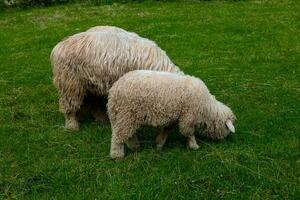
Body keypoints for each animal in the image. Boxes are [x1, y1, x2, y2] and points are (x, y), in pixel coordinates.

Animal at [50, 26, 182, 131]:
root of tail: (59, 46)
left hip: (91, 84)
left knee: (93, 103)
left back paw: (102, 120)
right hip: (69, 82)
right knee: (69, 106)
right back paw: (72, 125)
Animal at [106, 70, 236, 159]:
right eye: (226, 128)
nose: (224, 141)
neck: (206, 107)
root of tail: (114, 90)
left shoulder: (175, 117)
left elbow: (167, 130)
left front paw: (159, 144)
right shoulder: (188, 117)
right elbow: (189, 133)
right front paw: (194, 145)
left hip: (124, 116)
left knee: (127, 134)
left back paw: (134, 146)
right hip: (126, 114)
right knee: (118, 136)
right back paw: (117, 155)